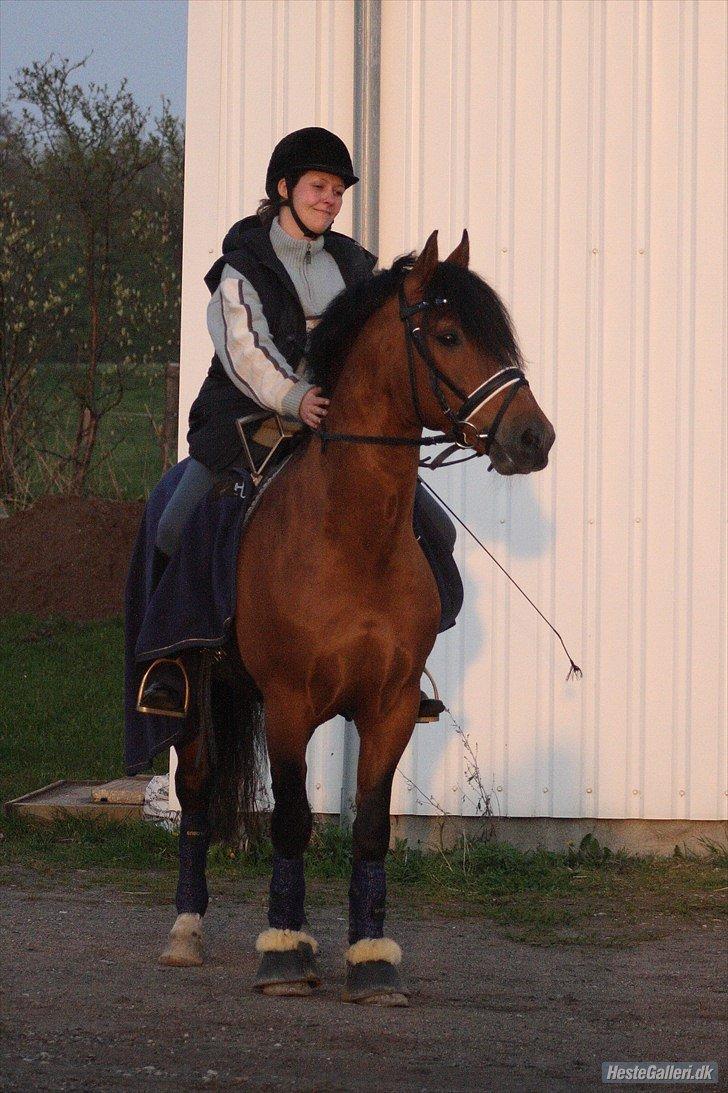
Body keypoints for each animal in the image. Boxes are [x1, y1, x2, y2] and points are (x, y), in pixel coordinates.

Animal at [158, 232, 553, 1005]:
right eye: (450, 334)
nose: (534, 437)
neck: (350, 536)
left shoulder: (390, 706)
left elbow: (370, 828)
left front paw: (371, 959)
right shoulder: (289, 703)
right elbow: (289, 823)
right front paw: (285, 953)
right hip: (191, 691)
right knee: (195, 794)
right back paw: (185, 932)